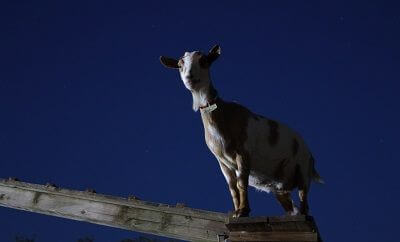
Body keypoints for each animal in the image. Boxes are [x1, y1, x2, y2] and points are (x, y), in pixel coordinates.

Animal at [159, 45, 322, 217]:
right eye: (180, 64)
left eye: (204, 61)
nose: (189, 77)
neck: (223, 115)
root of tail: (310, 155)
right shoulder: (223, 163)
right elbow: (233, 187)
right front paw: (236, 211)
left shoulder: (243, 153)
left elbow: (241, 182)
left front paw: (243, 211)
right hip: (280, 185)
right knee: (291, 205)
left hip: (302, 169)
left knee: (303, 197)